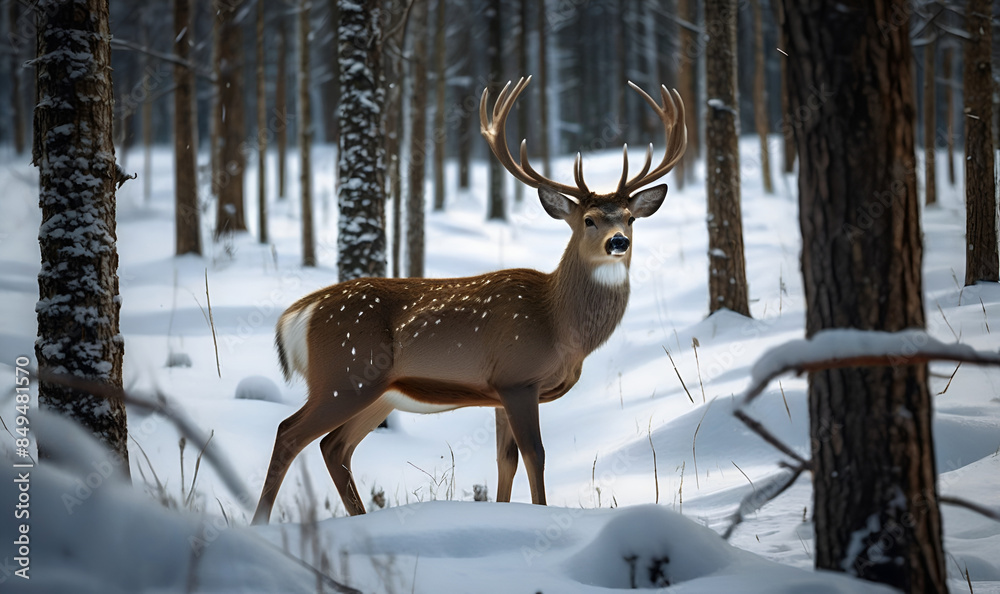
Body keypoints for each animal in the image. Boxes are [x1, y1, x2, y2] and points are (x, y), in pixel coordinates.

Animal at [251, 76, 686, 524]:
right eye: (588, 220)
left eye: (630, 218)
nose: (618, 242)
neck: (559, 325)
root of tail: (297, 314)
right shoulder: (518, 376)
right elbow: (535, 454)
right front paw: (541, 515)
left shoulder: (499, 392)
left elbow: (505, 460)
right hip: (343, 375)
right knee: (290, 433)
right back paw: (260, 523)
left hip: (377, 392)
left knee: (334, 447)